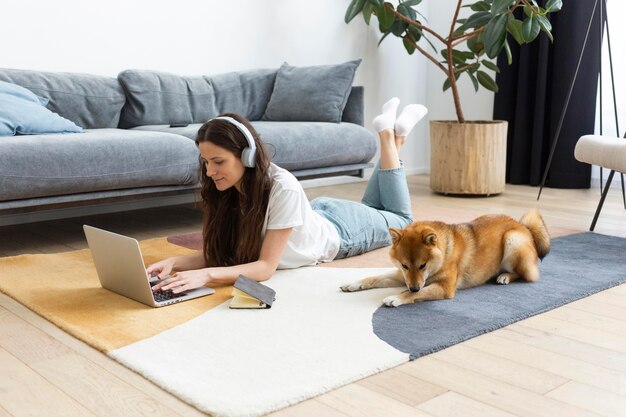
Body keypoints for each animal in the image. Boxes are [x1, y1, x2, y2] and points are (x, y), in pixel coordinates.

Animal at [338, 208, 548, 306]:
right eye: (405, 266)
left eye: (422, 265)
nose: (414, 287)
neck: (443, 256)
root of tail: (523, 225)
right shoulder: (402, 276)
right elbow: (373, 277)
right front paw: (353, 284)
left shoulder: (444, 288)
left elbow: (416, 294)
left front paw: (396, 297)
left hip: (512, 240)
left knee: (527, 274)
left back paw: (504, 276)